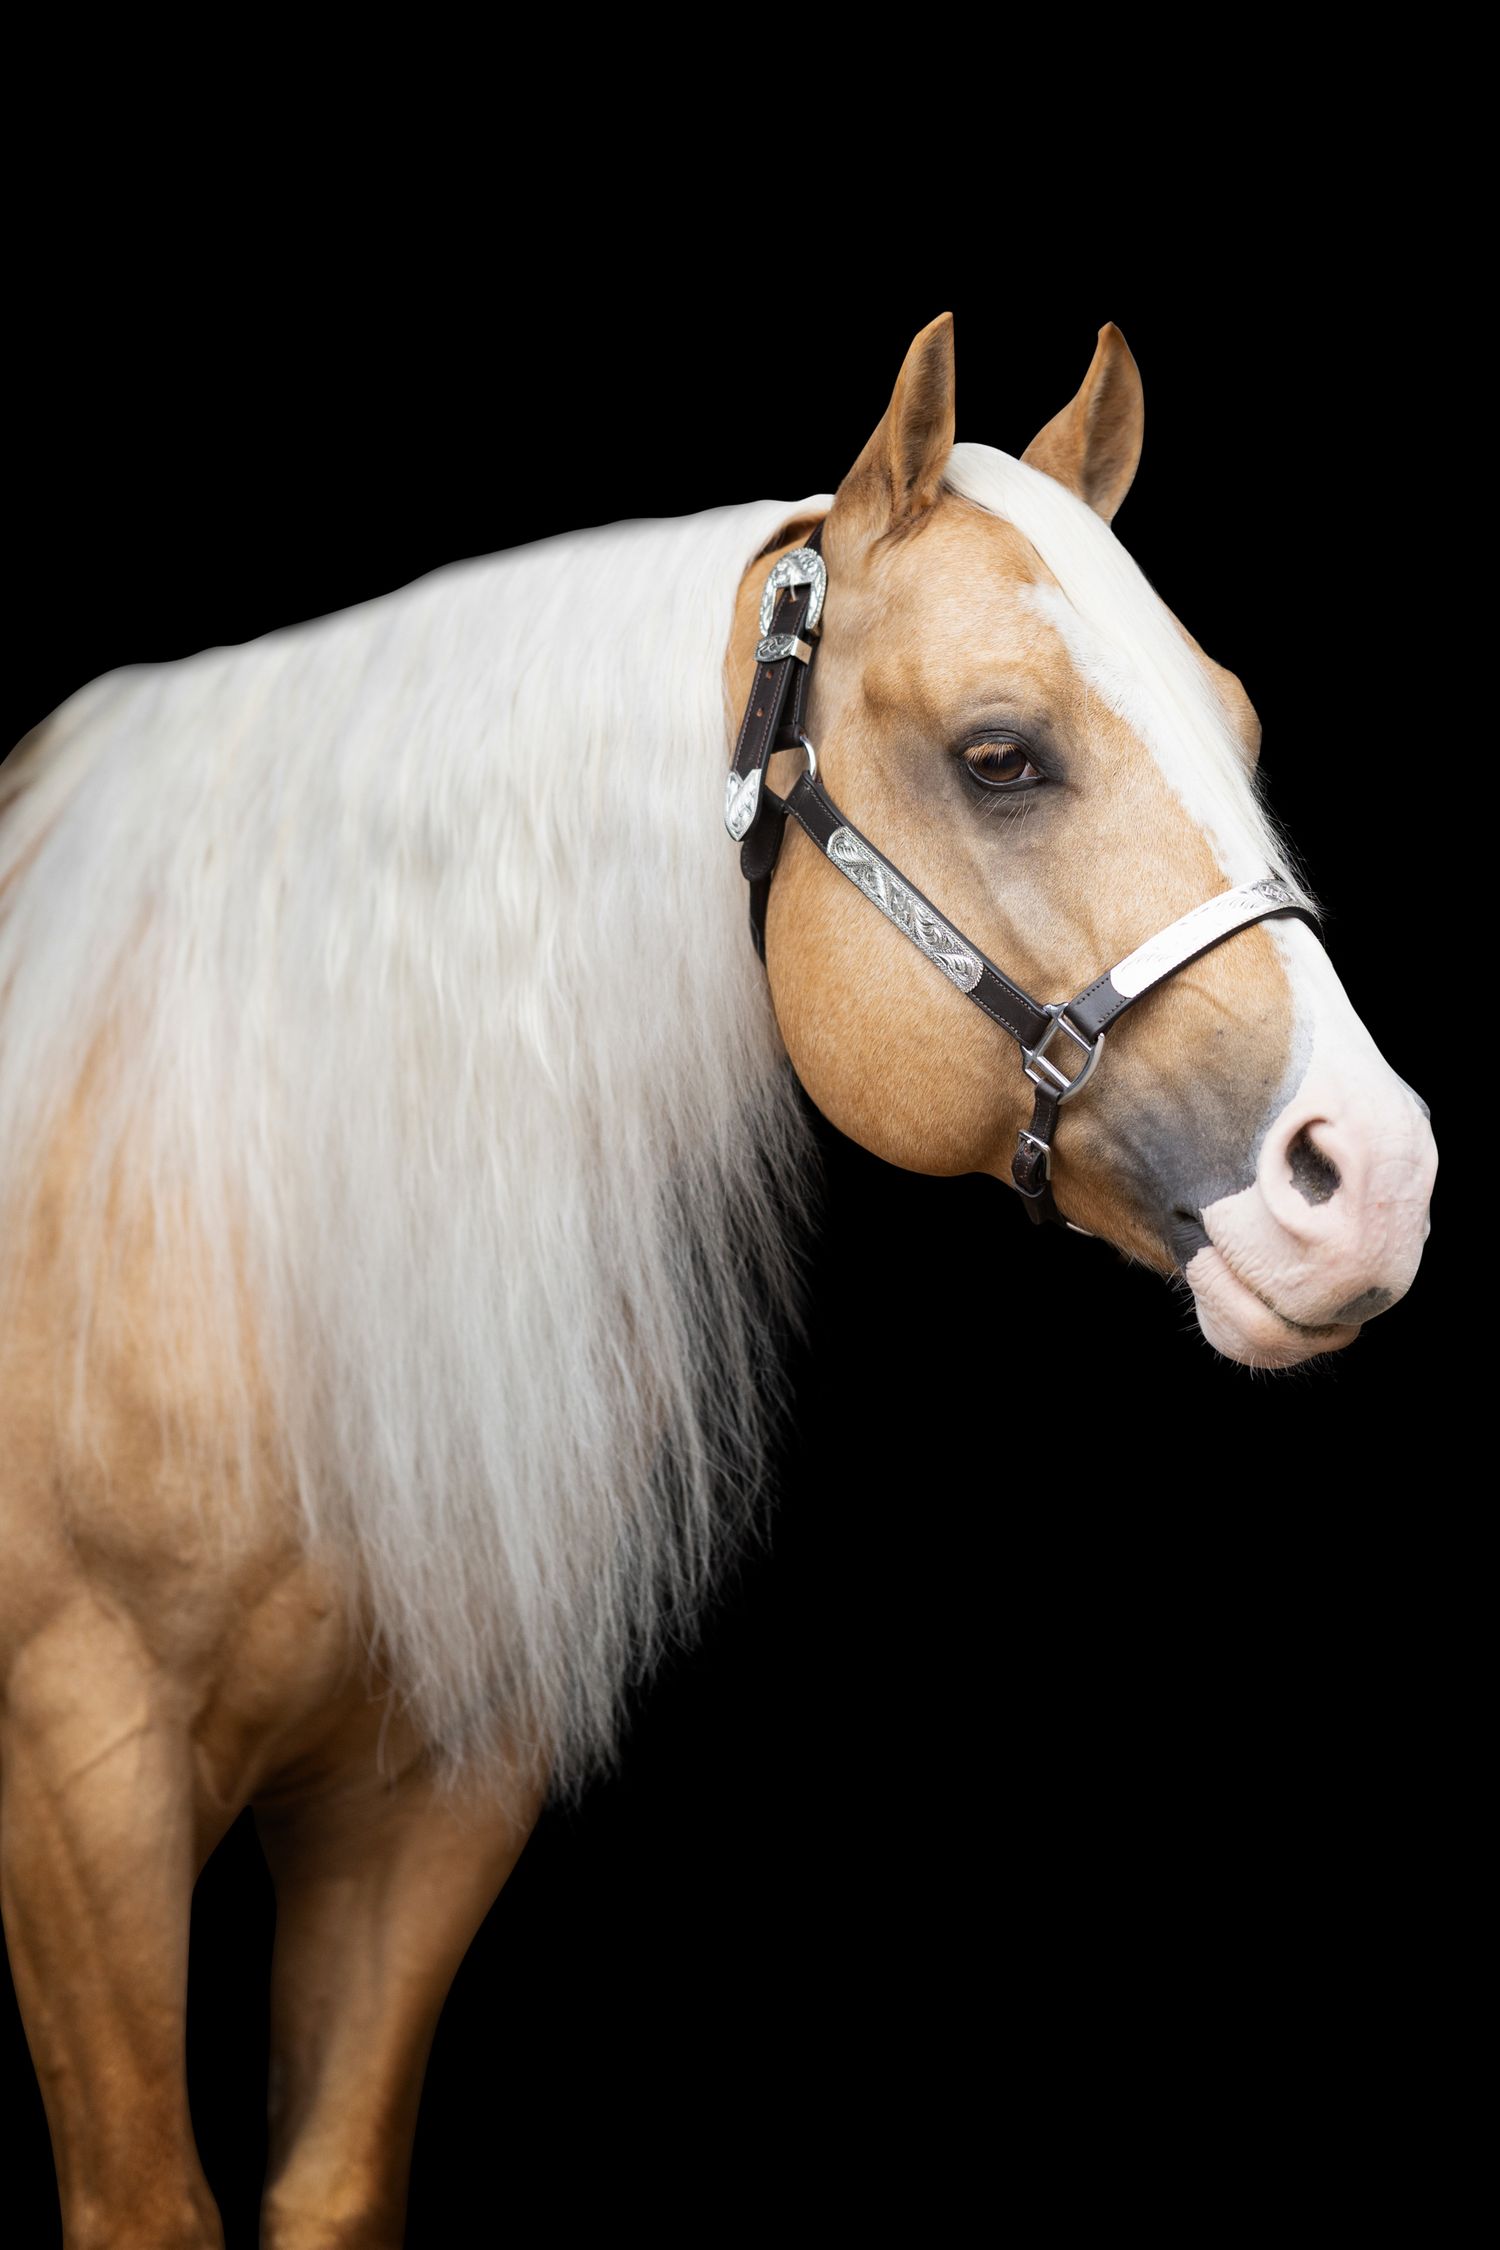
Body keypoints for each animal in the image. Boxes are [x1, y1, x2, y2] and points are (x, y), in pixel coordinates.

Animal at [0, 309, 1438, 2247]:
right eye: (1002, 753)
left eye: (1243, 725)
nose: (1373, 1182)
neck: (237, 1215)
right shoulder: (83, 1791)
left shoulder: (428, 1799)